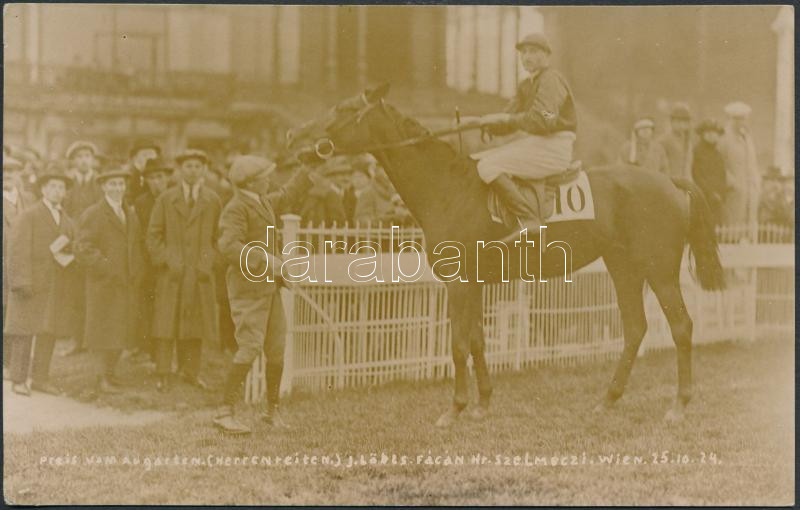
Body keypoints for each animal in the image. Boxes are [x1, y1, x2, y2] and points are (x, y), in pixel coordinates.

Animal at [286, 83, 725, 426]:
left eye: (343, 110)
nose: (293, 140)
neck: (449, 187)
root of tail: (670, 180)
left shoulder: (458, 283)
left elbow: (458, 344)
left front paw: (455, 408)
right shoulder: (476, 283)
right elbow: (478, 341)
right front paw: (482, 403)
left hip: (659, 270)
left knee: (681, 326)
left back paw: (678, 406)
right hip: (624, 268)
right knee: (635, 328)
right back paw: (608, 399)